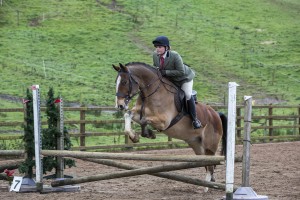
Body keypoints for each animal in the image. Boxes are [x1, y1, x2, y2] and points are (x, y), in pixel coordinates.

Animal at [113, 62, 227, 191]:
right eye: (116, 81)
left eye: (124, 82)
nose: (120, 105)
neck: (151, 92)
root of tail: (216, 114)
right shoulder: (138, 112)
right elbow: (129, 115)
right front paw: (136, 136)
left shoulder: (164, 121)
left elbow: (144, 120)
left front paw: (148, 134)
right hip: (197, 145)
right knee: (207, 164)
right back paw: (209, 183)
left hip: (210, 146)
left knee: (211, 165)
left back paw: (207, 187)